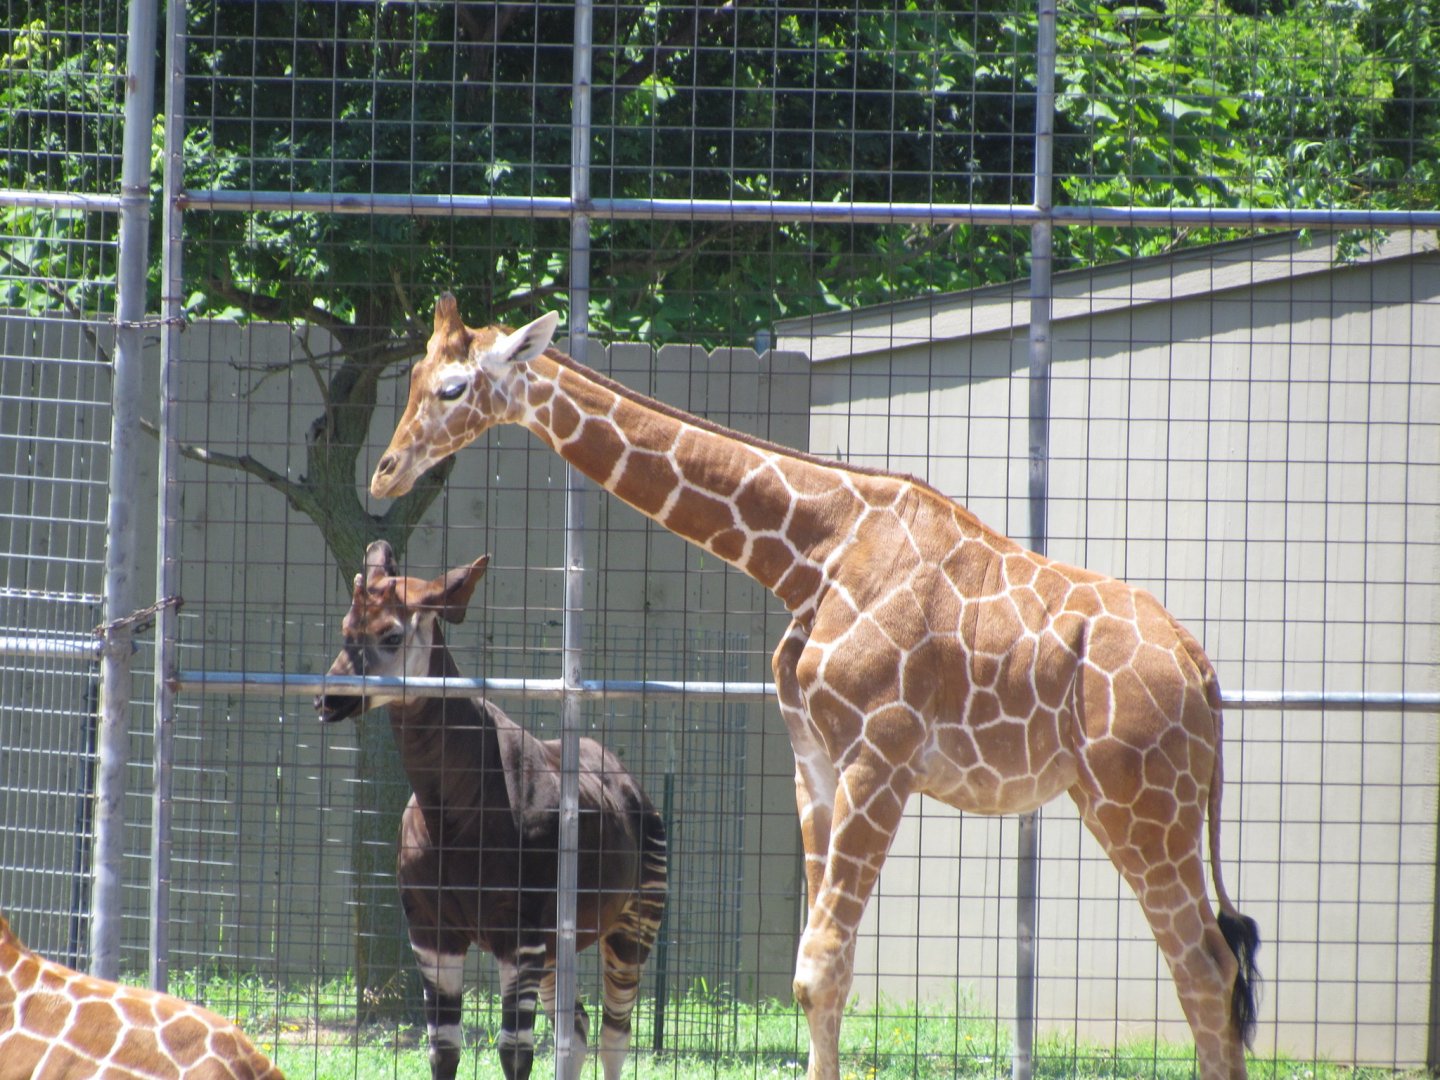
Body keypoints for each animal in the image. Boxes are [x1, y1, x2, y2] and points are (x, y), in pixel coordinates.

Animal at [367, 293, 1261, 1080]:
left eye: (453, 388)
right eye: (411, 377)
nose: (383, 474)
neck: (809, 550)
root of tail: (1200, 668)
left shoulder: (881, 758)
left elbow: (819, 965)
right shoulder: (816, 761)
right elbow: (827, 971)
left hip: (1141, 804)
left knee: (1206, 967)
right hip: (1132, 803)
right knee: (1213, 967)